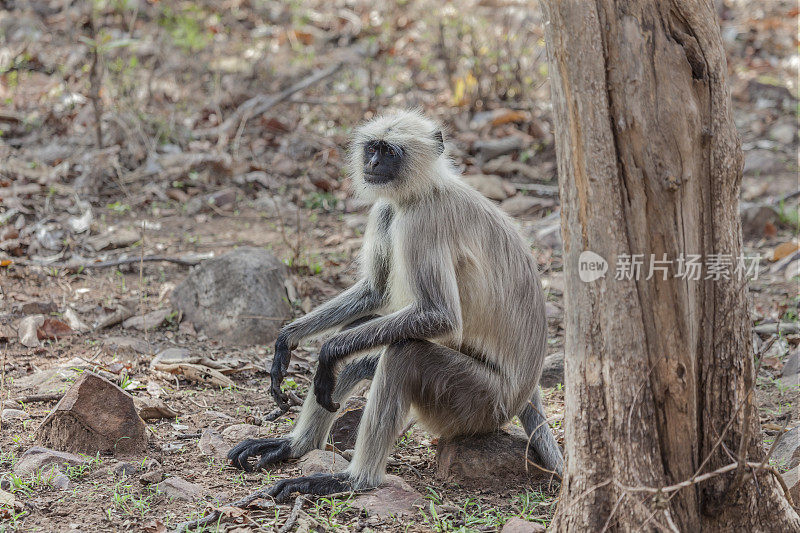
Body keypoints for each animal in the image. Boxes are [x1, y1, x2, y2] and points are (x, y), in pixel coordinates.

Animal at [225, 107, 564, 498]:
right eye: (373, 148)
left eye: (389, 152)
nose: (372, 163)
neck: (424, 189)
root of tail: (525, 392)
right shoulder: (388, 210)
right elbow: (374, 291)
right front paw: (287, 338)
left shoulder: (422, 221)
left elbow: (439, 316)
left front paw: (326, 352)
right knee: (362, 344)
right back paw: (295, 447)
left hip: (478, 403)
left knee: (405, 354)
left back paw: (353, 479)